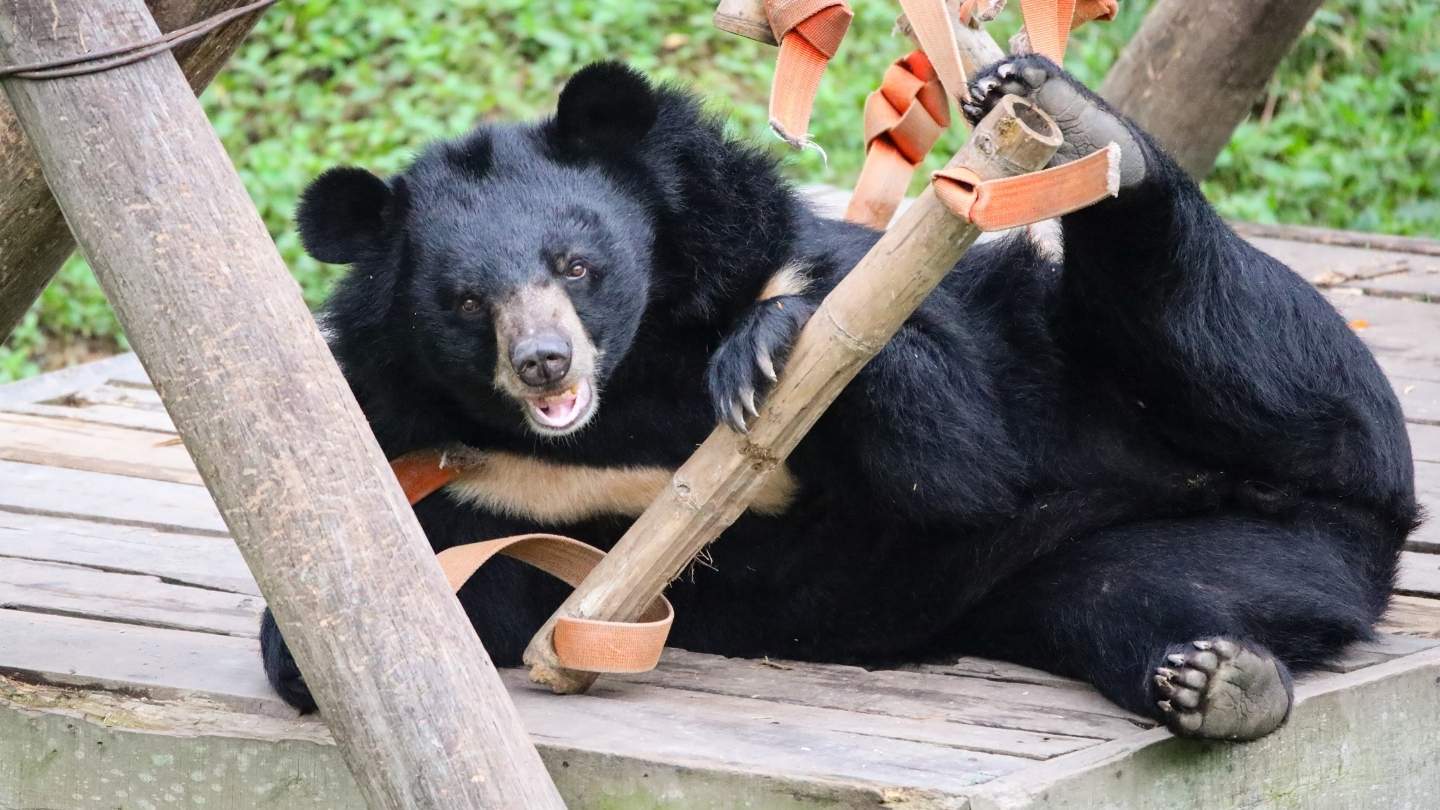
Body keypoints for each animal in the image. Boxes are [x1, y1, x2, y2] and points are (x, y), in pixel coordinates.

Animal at [261, 58, 1418, 742]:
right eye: (466, 300)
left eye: (577, 266)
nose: (545, 363)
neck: (629, 391)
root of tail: (1363, 530)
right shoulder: (464, 466)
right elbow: (425, 592)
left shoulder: (801, 262)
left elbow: (960, 453)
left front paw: (765, 352)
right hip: (1190, 555)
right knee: (1129, 596)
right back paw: (1223, 682)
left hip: (1275, 385)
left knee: (1208, 314)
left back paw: (1086, 124)